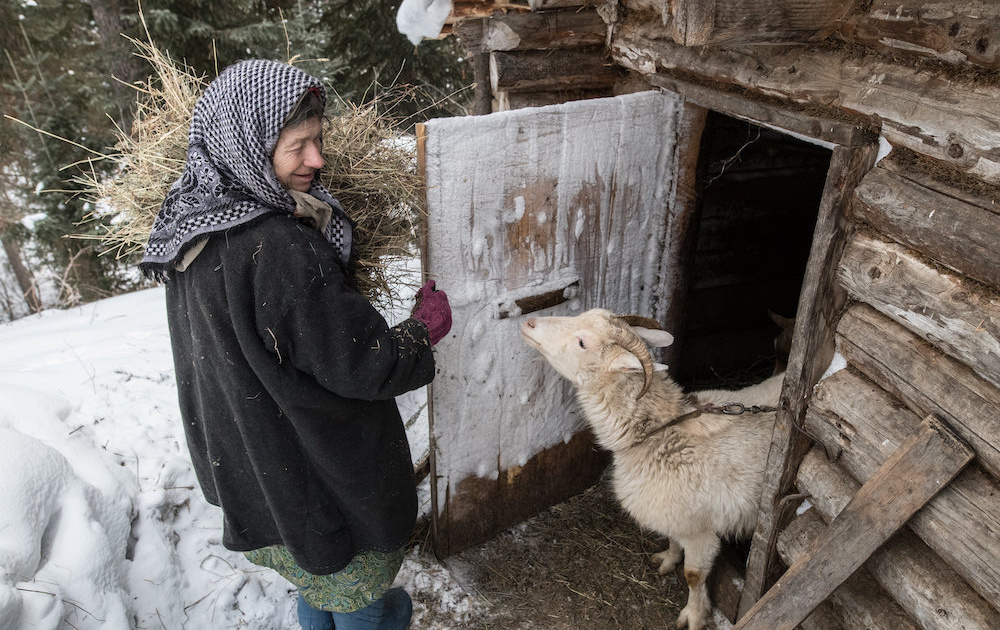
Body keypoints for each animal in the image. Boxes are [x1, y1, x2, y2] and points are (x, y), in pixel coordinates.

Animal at [520, 312, 784, 630]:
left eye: (582, 342)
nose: (529, 323)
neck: (660, 433)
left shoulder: (700, 531)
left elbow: (693, 575)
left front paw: (694, 615)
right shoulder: (675, 516)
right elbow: (672, 539)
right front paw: (668, 559)